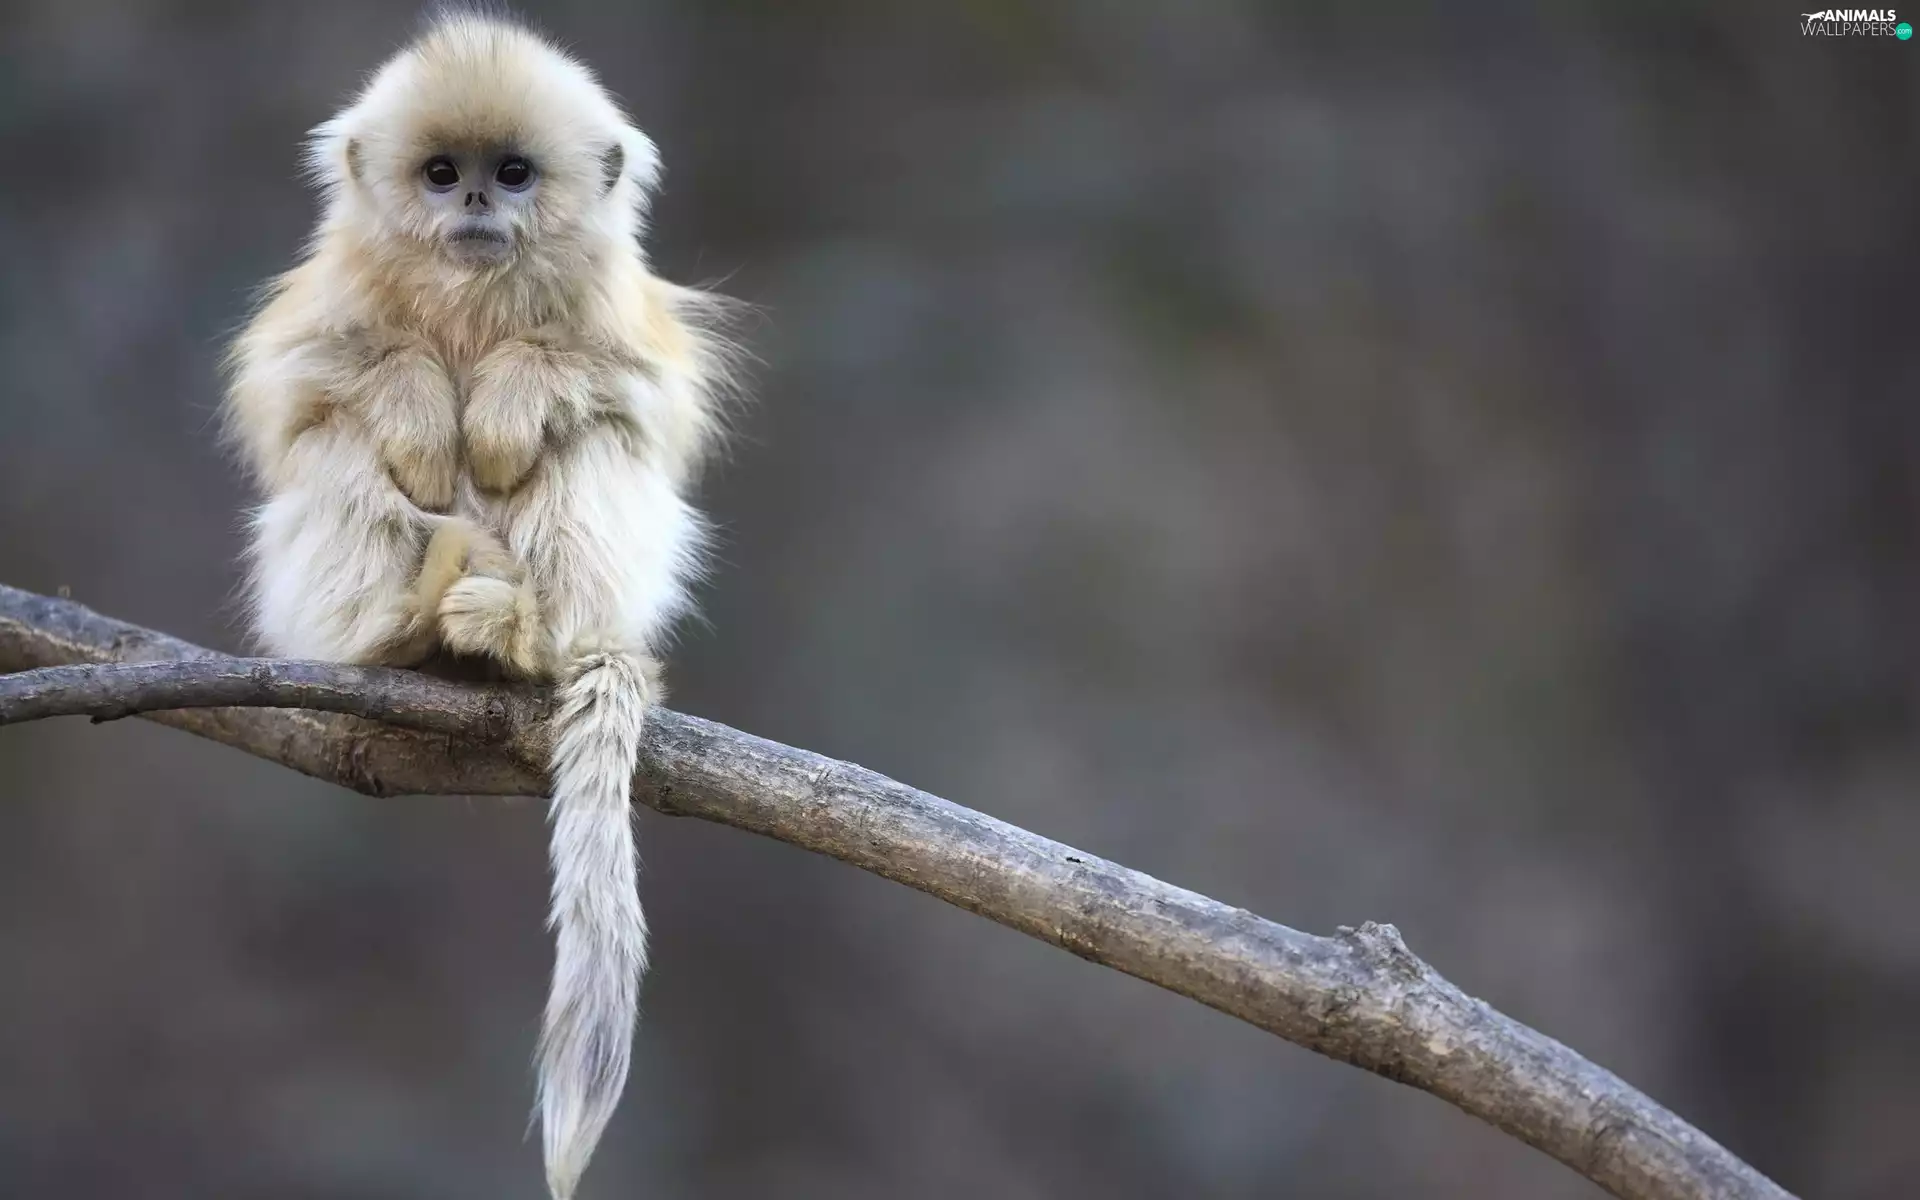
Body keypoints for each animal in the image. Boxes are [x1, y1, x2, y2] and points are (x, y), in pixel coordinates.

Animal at [222, 12, 738, 1197]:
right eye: (440, 173)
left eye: (512, 174)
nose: (473, 207)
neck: (470, 297)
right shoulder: (327, 307)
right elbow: (298, 390)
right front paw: (420, 410)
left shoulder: (619, 319)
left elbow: (633, 397)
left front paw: (504, 406)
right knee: (337, 443)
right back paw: (397, 634)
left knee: (596, 441)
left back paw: (520, 635)